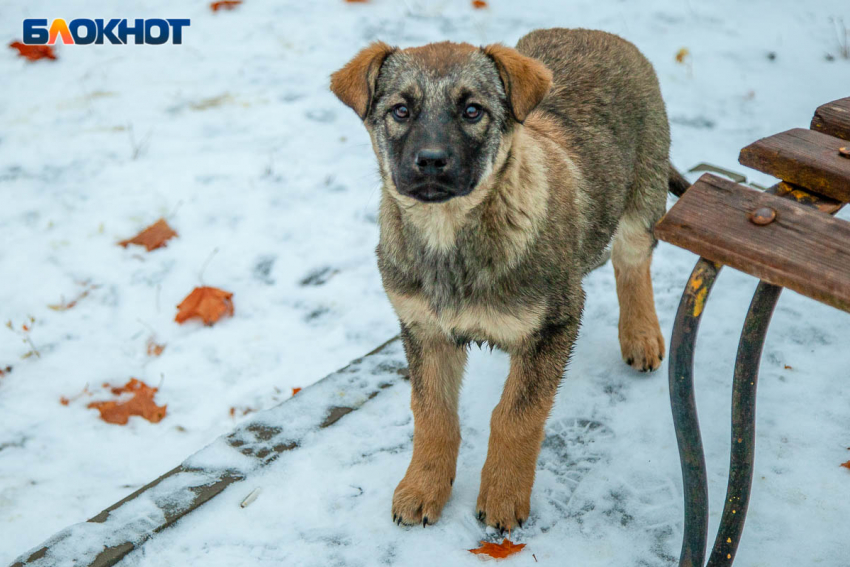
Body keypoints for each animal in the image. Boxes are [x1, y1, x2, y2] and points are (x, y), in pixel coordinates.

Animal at [328, 26, 684, 532]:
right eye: (400, 111)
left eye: (472, 111)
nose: (431, 161)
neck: (450, 235)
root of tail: (599, 34)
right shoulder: (424, 330)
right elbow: (432, 413)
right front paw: (423, 486)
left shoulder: (555, 324)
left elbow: (516, 415)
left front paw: (502, 496)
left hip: (642, 198)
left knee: (632, 264)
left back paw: (641, 335)